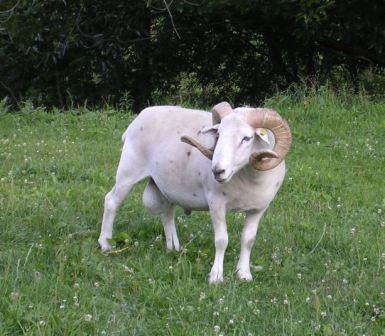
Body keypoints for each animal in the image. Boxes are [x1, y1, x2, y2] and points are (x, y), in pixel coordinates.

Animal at [98, 101, 292, 284]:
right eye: (218, 135)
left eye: (247, 138)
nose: (217, 171)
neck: (249, 178)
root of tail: (140, 116)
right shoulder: (216, 203)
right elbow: (221, 240)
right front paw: (216, 277)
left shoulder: (258, 209)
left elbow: (248, 240)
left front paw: (244, 274)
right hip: (128, 172)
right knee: (111, 202)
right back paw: (105, 243)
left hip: (167, 185)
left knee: (167, 213)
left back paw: (173, 247)